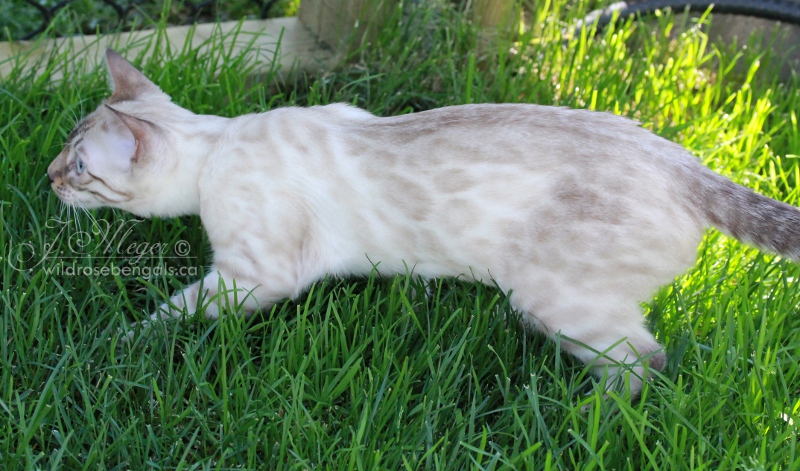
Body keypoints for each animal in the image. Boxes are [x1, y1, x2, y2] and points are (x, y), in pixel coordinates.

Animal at [48, 49, 800, 396]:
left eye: (81, 168)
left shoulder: (251, 277)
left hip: (554, 300)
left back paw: (590, 420)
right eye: (65, 153)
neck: (219, 145)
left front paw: (115, 345)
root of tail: (685, 164)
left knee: (645, 364)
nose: (48, 178)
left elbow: (165, 316)